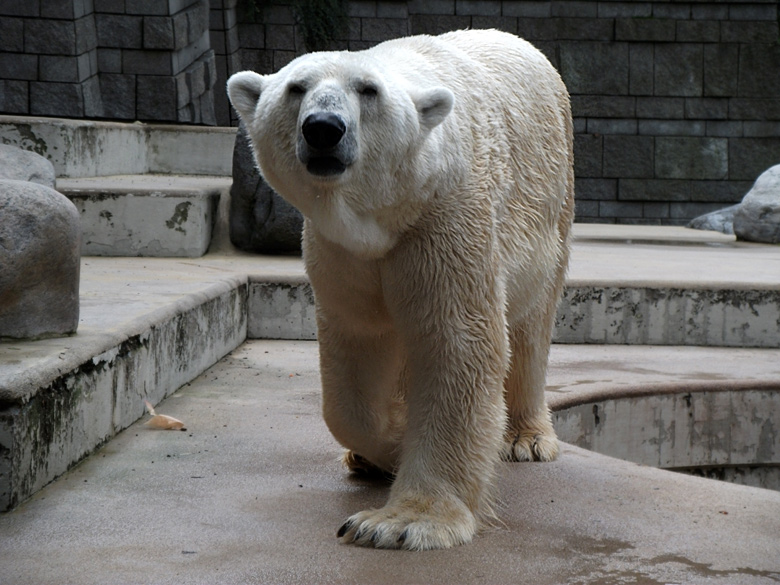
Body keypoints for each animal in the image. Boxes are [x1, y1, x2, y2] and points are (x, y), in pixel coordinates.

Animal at [229, 29, 576, 548]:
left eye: (368, 90)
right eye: (296, 87)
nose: (323, 128)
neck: (387, 214)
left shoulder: (447, 217)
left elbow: (457, 342)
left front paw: (400, 522)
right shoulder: (338, 249)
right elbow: (358, 350)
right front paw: (386, 445)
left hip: (552, 202)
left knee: (532, 325)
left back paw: (525, 437)